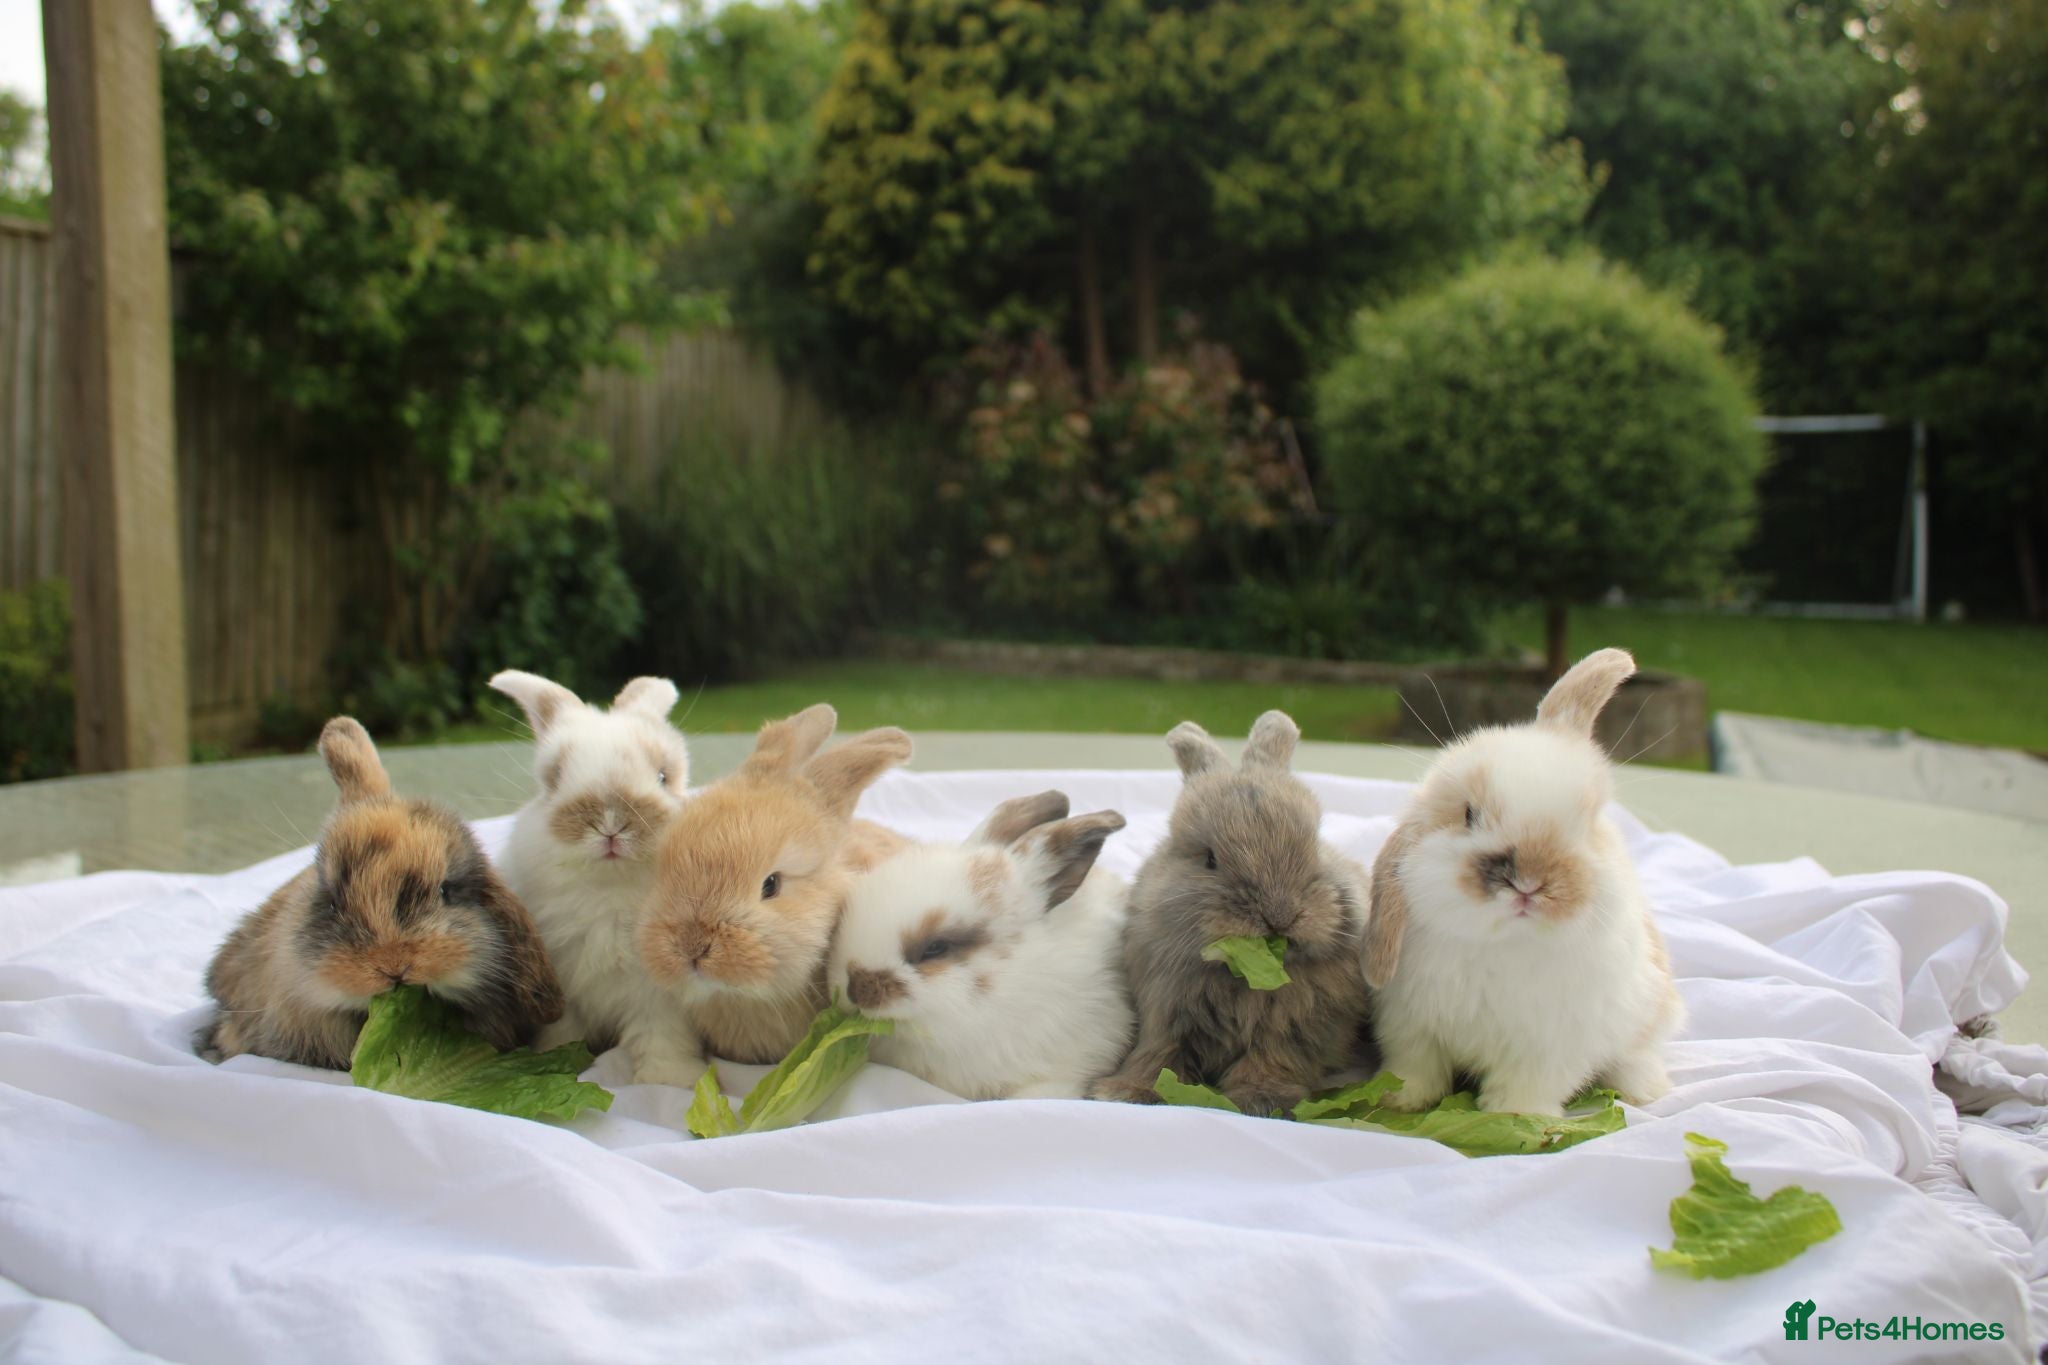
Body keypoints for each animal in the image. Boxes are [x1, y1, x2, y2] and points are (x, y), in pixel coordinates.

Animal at [489, 669, 694, 1076]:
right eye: (554, 777)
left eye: (664, 777)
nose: (611, 822)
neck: (610, 892)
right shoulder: (562, 996)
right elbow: (565, 1035)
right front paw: (556, 1064)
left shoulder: (659, 999)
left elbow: (661, 1038)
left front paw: (669, 1080)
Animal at [1089, 712, 1373, 1116]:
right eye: (1209, 859)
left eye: (1316, 845)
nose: (1280, 915)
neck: (1241, 981)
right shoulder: (1165, 1014)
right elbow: (1159, 1056)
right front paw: (1126, 1091)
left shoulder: (1291, 1031)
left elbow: (1270, 1059)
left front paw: (1262, 1101)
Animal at [1364, 647, 1685, 1117]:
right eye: (1469, 815)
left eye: (1587, 822)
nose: (1529, 882)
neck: (1504, 943)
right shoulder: (1410, 1025)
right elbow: (1415, 1067)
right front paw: (1397, 1100)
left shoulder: (1547, 1048)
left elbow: (1526, 1084)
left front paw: (1517, 1117)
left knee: (1637, 1056)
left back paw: (1642, 1090)